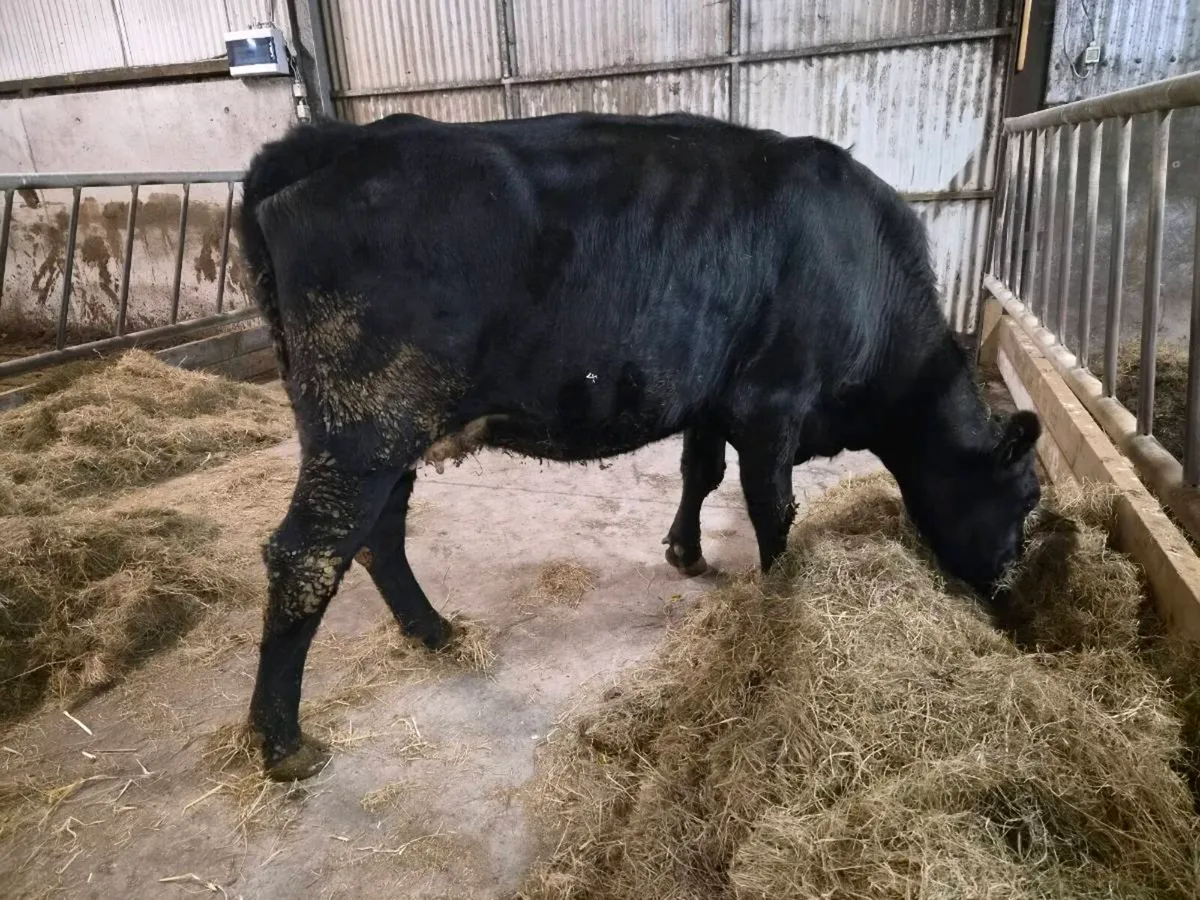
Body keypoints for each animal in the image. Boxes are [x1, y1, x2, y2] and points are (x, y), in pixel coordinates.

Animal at [238, 111, 1042, 781]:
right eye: (1028, 498)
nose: (1008, 595)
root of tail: (334, 140)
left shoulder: (714, 399)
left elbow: (699, 471)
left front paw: (686, 552)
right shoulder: (772, 405)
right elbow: (772, 508)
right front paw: (780, 602)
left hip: (388, 429)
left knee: (379, 533)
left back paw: (432, 630)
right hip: (365, 422)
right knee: (307, 554)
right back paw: (282, 743)